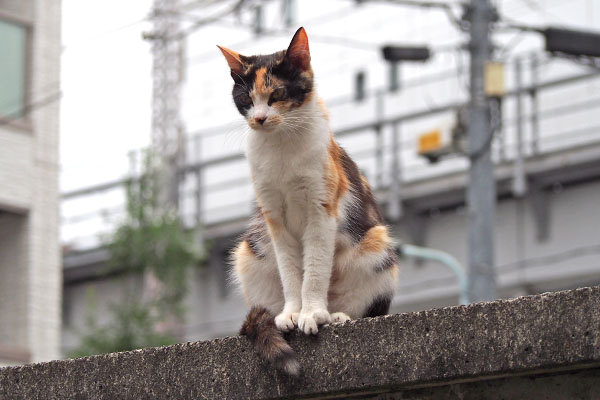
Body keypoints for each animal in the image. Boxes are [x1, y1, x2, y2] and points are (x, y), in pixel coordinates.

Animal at [217, 28, 398, 376]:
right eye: (246, 99)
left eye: (276, 95)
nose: (260, 118)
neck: (282, 146)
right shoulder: (274, 216)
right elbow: (291, 271)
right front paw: (293, 312)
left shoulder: (321, 210)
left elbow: (314, 268)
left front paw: (311, 314)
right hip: (248, 253)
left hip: (377, 245)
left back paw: (337, 317)